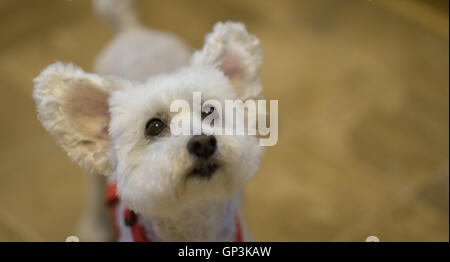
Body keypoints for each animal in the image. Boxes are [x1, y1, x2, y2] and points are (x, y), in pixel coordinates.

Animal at [32, 0, 264, 242]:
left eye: (209, 111)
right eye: (154, 126)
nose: (203, 143)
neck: (195, 225)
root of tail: (131, 30)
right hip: (94, 178)